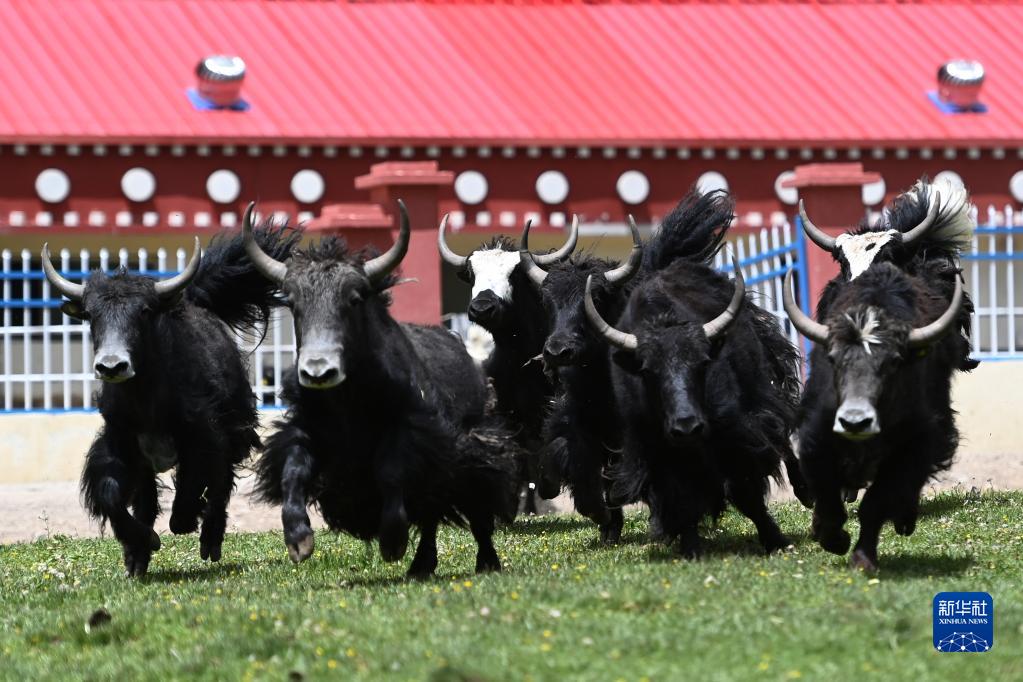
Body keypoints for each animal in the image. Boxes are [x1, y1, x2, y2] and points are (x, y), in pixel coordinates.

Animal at [41, 223, 298, 576]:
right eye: (92, 315)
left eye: (144, 311)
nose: (111, 366)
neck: (145, 397)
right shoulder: (120, 441)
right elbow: (110, 493)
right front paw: (144, 541)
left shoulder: (202, 436)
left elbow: (192, 489)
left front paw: (184, 522)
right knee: (148, 498)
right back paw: (137, 559)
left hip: (233, 431)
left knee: (220, 484)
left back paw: (209, 542)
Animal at [247, 201, 519, 576]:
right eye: (292, 303)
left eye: (354, 299)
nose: (318, 370)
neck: (345, 402)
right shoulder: (305, 434)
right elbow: (293, 471)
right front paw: (298, 541)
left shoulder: (409, 433)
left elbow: (390, 473)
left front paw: (392, 542)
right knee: (432, 515)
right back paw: (422, 566)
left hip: (475, 453)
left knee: (473, 511)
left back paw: (486, 563)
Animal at [516, 218, 643, 543]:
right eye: (547, 301)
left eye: (595, 298)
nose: (558, 351)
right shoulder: (575, 422)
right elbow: (568, 455)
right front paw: (603, 518)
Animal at [582, 199, 802, 557]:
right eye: (648, 371)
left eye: (702, 364)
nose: (687, 427)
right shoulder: (655, 451)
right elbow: (679, 499)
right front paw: (690, 549)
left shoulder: (734, 431)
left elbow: (745, 490)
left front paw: (776, 541)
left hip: (762, 390)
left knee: (781, 433)